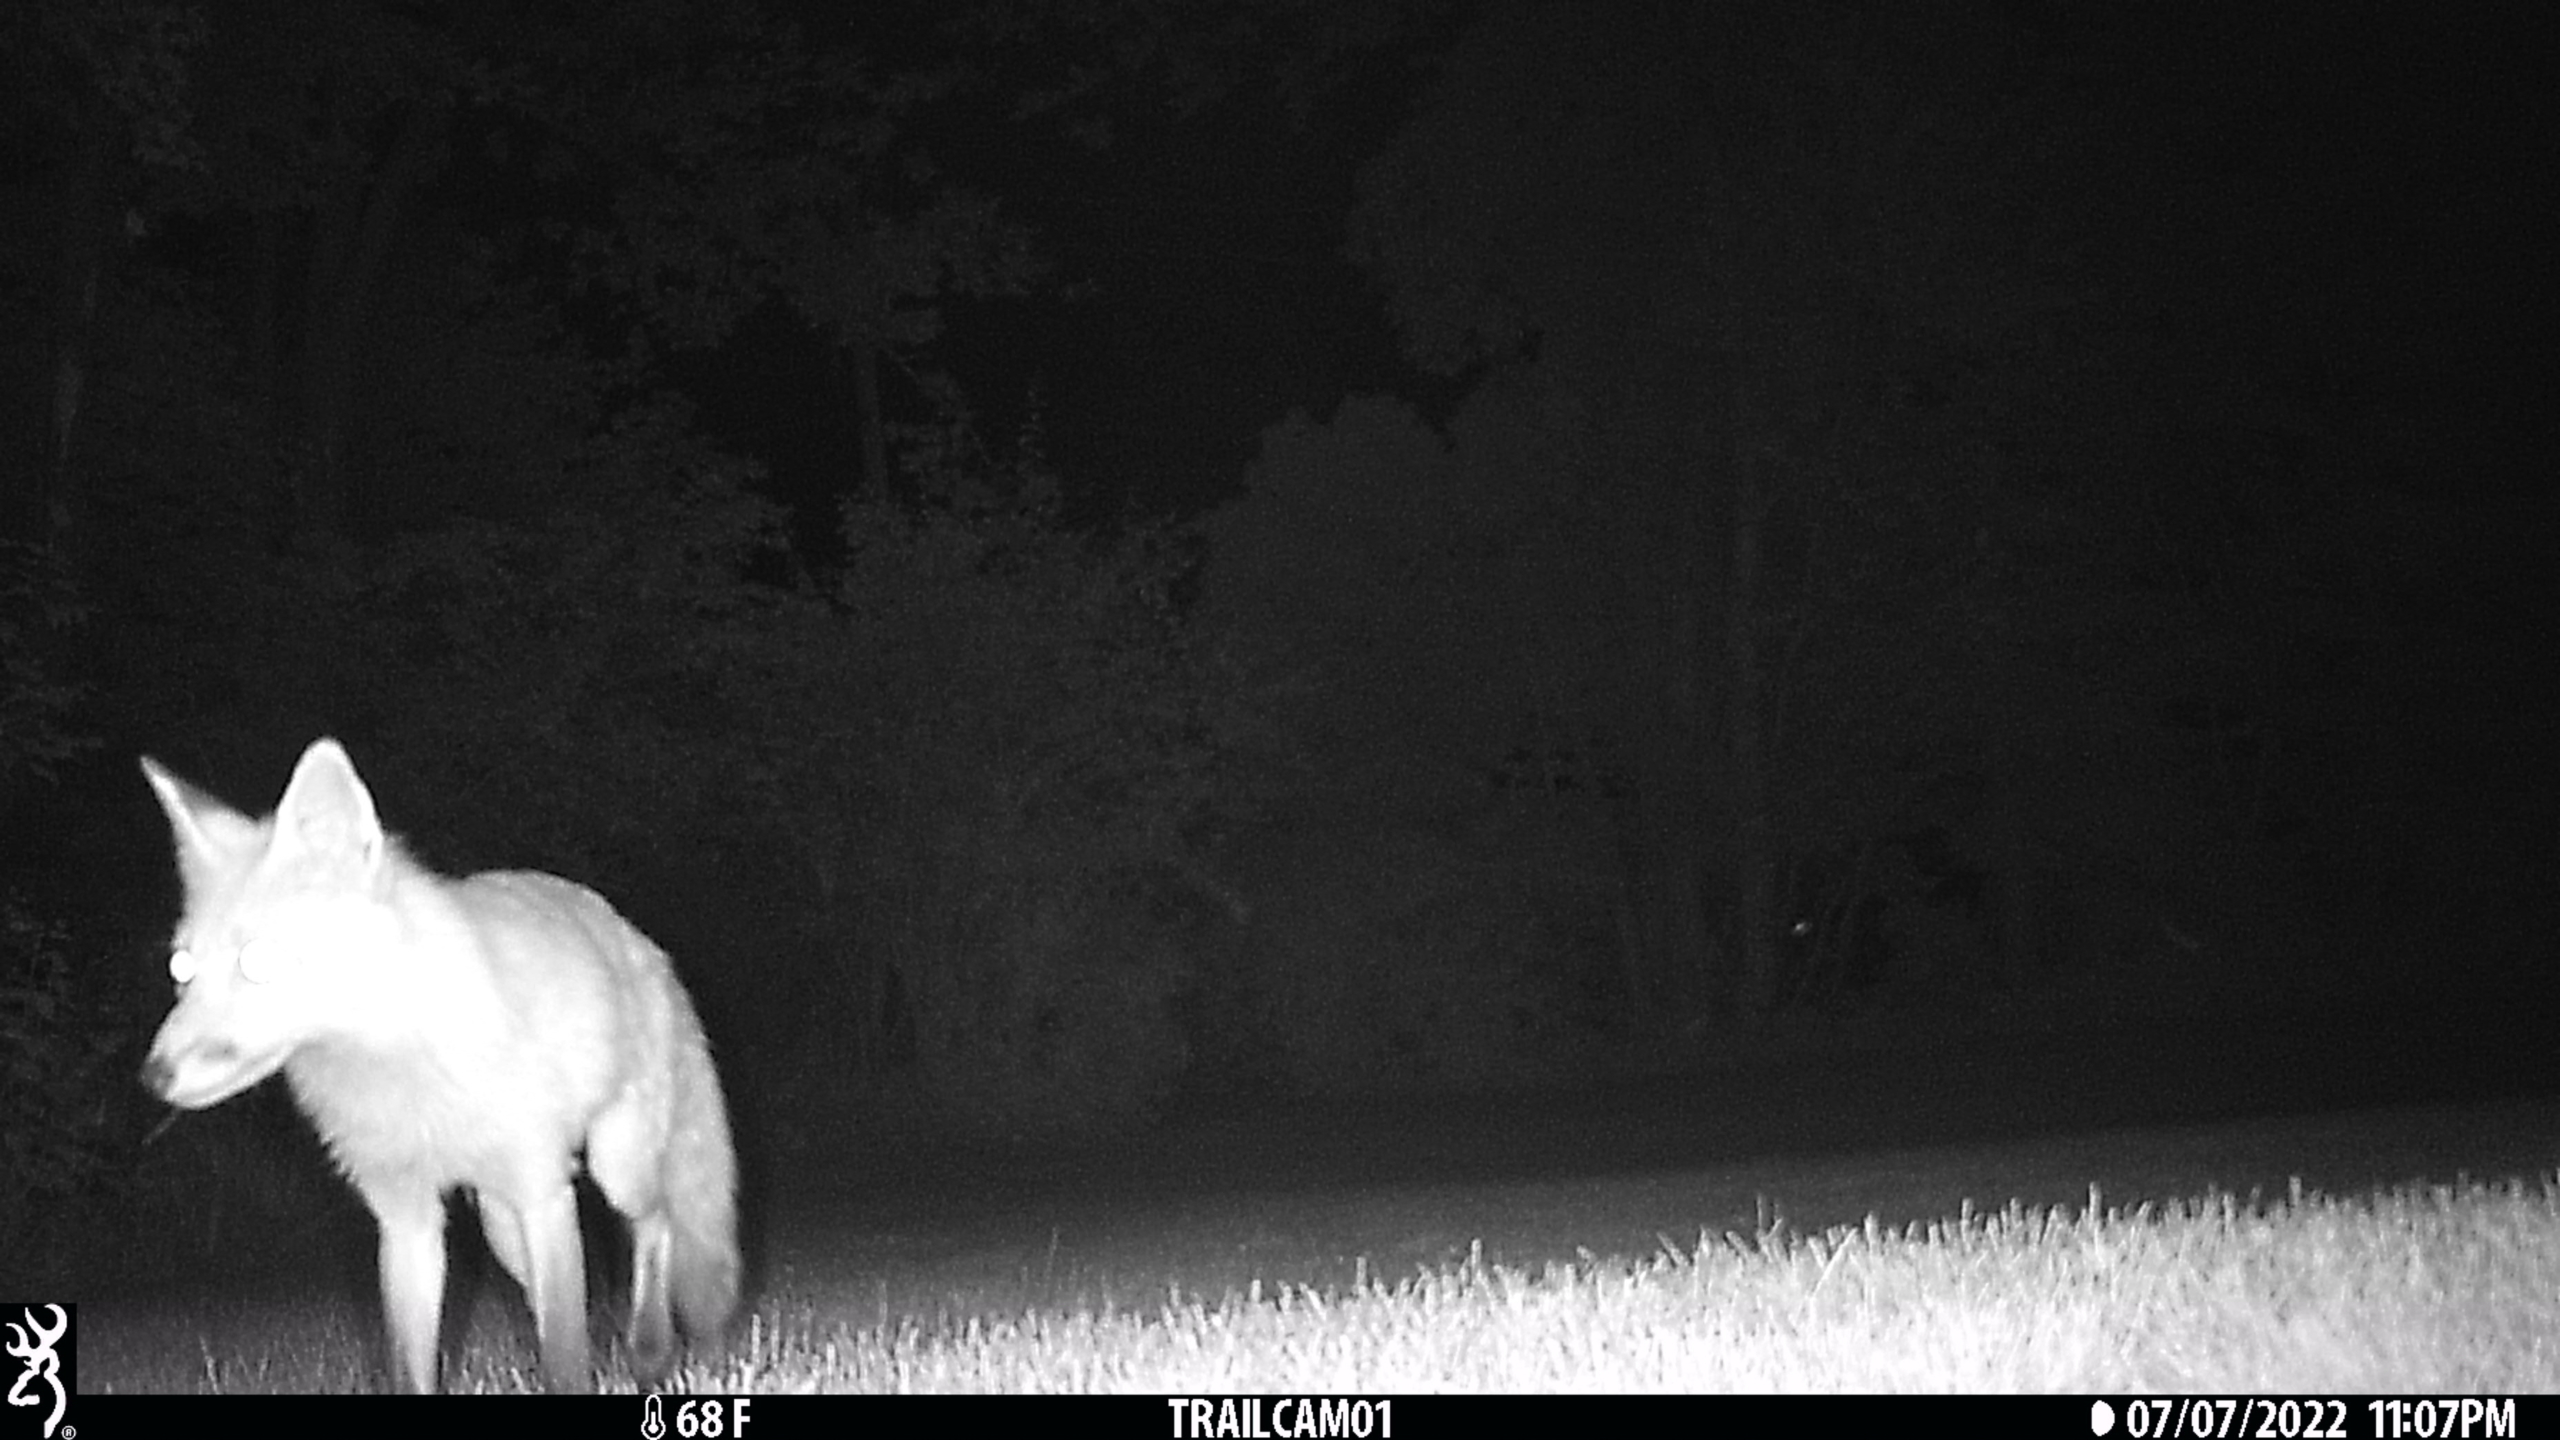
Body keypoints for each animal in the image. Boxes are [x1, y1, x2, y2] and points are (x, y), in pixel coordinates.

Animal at [138, 737, 739, 1394]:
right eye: (180, 970)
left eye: (258, 962)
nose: (153, 1075)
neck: (396, 1061)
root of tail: (636, 937)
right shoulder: (405, 1220)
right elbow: (418, 1365)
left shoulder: (541, 1188)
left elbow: (564, 1358)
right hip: (503, 1226)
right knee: (553, 1298)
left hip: (613, 1167)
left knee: (656, 1225)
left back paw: (650, 1350)